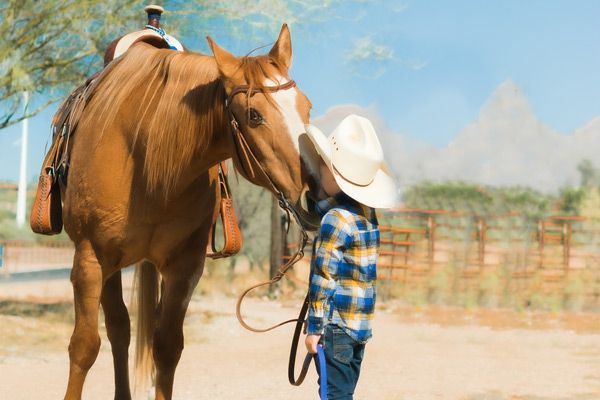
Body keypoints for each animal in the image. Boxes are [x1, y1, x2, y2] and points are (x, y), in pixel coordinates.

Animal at [61, 23, 322, 398]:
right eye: (254, 115)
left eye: (307, 107)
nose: (317, 192)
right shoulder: (90, 260)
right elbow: (83, 347)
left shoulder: (184, 268)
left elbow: (167, 347)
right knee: (117, 330)